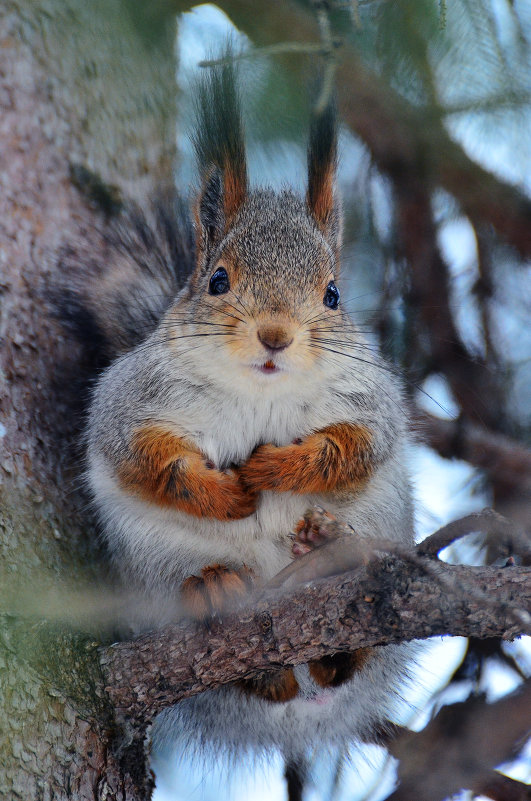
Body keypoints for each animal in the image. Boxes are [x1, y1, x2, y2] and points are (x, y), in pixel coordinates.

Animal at [60, 61, 414, 780]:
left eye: (333, 294)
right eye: (217, 280)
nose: (275, 335)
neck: (260, 394)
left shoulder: (370, 402)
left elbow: (355, 447)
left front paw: (282, 465)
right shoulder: (130, 402)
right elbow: (144, 458)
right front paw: (223, 492)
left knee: (346, 661)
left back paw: (333, 609)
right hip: (153, 564)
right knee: (257, 674)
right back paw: (223, 598)